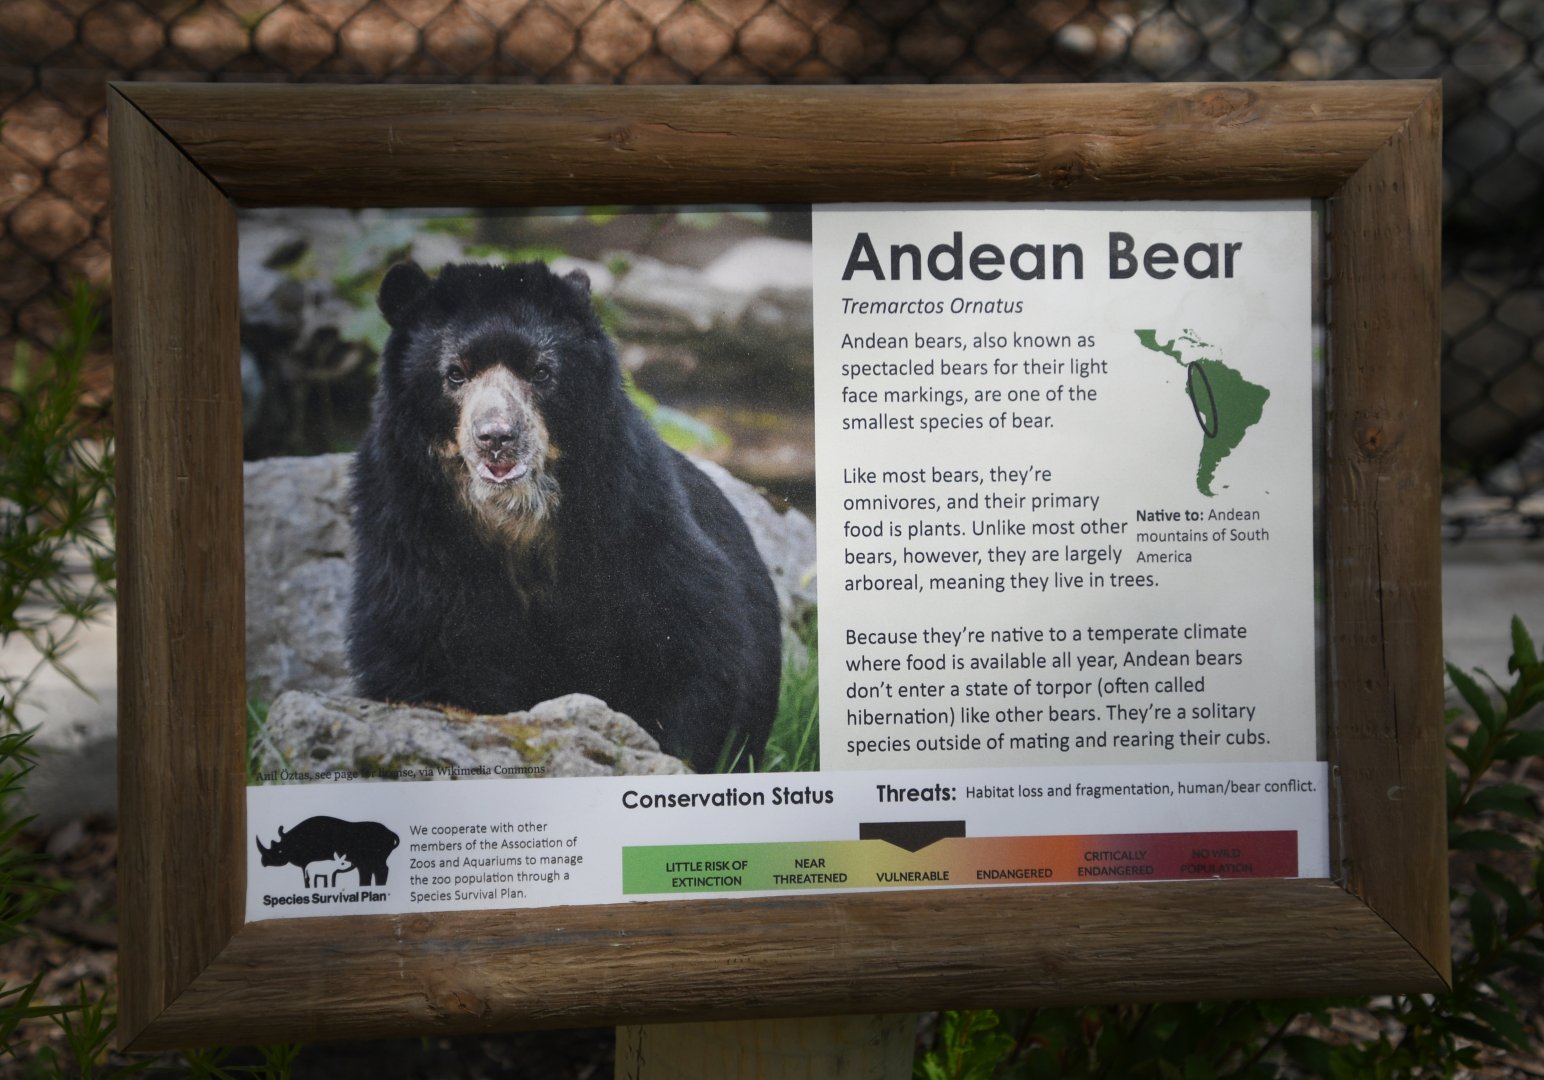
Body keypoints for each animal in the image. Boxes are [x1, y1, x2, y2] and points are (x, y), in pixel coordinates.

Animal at [346, 260, 782, 771]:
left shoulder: (630, 512)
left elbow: (691, 644)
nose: (497, 438)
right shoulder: (409, 530)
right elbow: (419, 645)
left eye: (541, 371)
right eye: (455, 374)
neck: (516, 515)